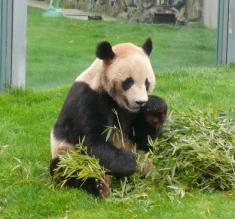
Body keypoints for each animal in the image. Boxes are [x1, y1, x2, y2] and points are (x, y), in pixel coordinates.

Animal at [49, 38, 167, 197]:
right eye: (128, 81)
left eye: (147, 82)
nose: (140, 102)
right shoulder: (88, 97)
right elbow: (92, 140)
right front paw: (127, 163)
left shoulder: (134, 113)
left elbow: (143, 139)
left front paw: (155, 109)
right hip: (66, 151)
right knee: (66, 168)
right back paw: (97, 185)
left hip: (147, 161)